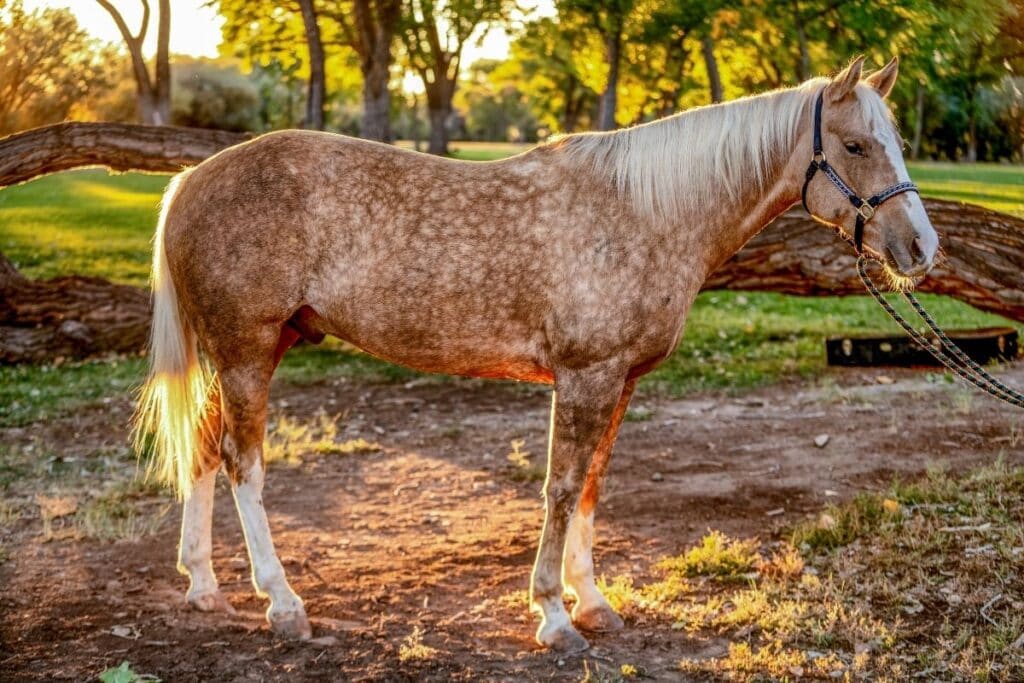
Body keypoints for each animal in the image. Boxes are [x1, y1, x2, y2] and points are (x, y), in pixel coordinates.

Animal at [134, 56, 937, 655]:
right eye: (856, 145)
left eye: (896, 140)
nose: (921, 248)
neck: (644, 211)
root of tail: (191, 180)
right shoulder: (584, 377)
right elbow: (560, 487)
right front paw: (552, 612)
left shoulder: (619, 381)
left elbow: (590, 487)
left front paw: (595, 600)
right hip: (246, 348)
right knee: (242, 463)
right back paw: (283, 603)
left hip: (253, 349)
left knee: (203, 450)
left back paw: (204, 585)